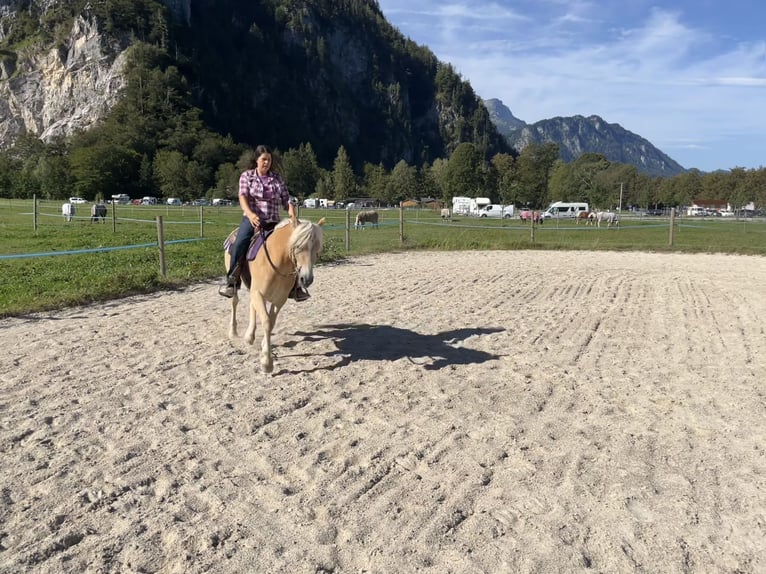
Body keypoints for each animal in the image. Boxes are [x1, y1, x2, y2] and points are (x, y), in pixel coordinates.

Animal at [225, 216, 328, 374]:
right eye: (298, 246)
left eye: (318, 249)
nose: (307, 279)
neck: (277, 262)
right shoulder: (259, 293)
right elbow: (267, 322)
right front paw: (267, 363)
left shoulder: (280, 299)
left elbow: (271, 322)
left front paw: (263, 346)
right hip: (236, 282)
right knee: (234, 301)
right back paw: (233, 332)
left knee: (252, 306)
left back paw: (249, 336)